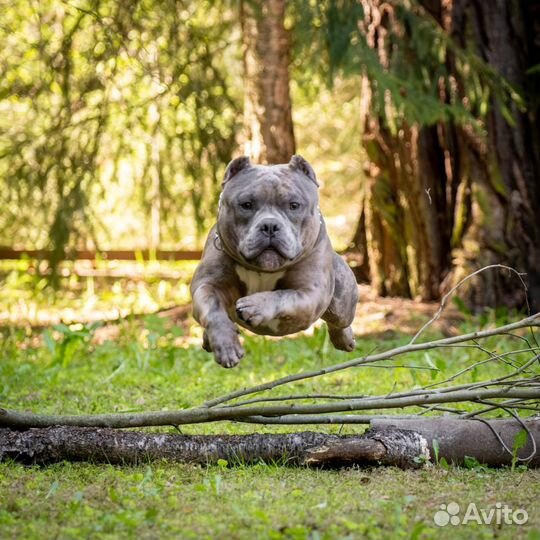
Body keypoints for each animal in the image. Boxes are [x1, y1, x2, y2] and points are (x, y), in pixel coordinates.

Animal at [190, 154, 358, 370]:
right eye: (246, 205)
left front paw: (255, 306)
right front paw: (226, 346)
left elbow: (283, 295)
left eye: (294, 205)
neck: (263, 269)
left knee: (340, 322)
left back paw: (345, 339)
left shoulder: (311, 293)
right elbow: (213, 311)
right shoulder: (207, 285)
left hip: (342, 303)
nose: (269, 225)